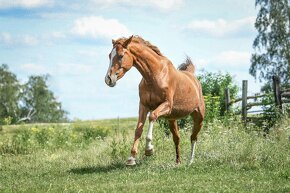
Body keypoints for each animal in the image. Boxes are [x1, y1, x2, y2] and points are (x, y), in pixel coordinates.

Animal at [104, 35, 204, 165]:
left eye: (121, 55)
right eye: (109, 55)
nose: (108, 79)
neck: (155, 75)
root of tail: (192, 77)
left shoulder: (166, 105)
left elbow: (152, 117)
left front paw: (149, 150)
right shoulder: (143, 106)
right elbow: (138, 129)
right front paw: (131, 158)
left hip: (199, 117)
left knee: (193, 137)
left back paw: (190, 161)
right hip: (172, 119)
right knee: (177, 138)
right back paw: (178, 162)